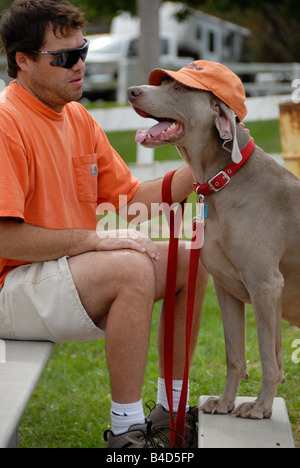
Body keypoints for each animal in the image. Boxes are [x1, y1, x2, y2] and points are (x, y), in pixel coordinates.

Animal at [128, 60, 300, 422]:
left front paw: (260, 407)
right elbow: (234, 353)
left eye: (179, 88)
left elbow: (268, 355)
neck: (227, 178)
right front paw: (224, 402)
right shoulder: (226, 288)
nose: (132, 91)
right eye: (160, 83)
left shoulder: (265, 285)